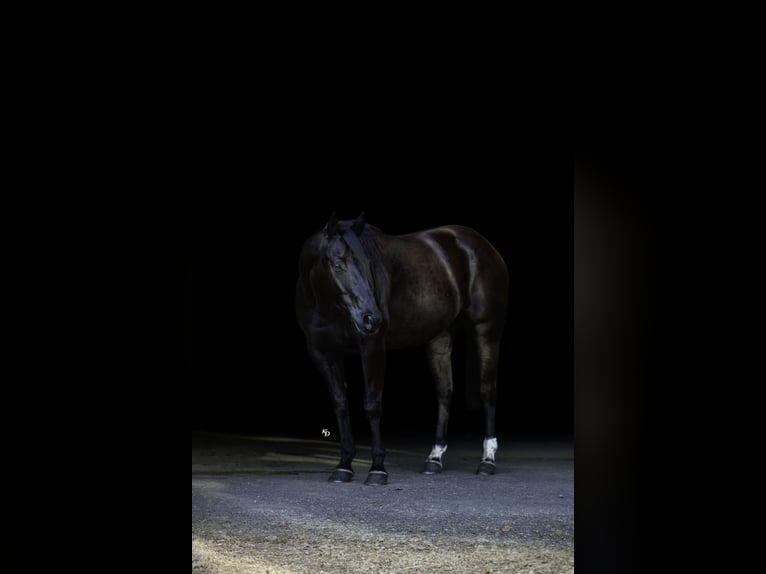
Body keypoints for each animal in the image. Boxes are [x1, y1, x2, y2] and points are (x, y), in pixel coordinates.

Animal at [295, 213, 508, 485]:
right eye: (338, 263)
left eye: (366, 263)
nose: (371, 319)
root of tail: (484, 246)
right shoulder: (324, 354)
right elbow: (341, 404)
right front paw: (343, 466)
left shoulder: (372, 346)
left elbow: (372, 404)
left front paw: (377, 469)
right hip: (440, 338)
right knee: (445, 393)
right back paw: (434, 459)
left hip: (487, 331)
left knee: (487, 390)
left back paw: (487, 460)